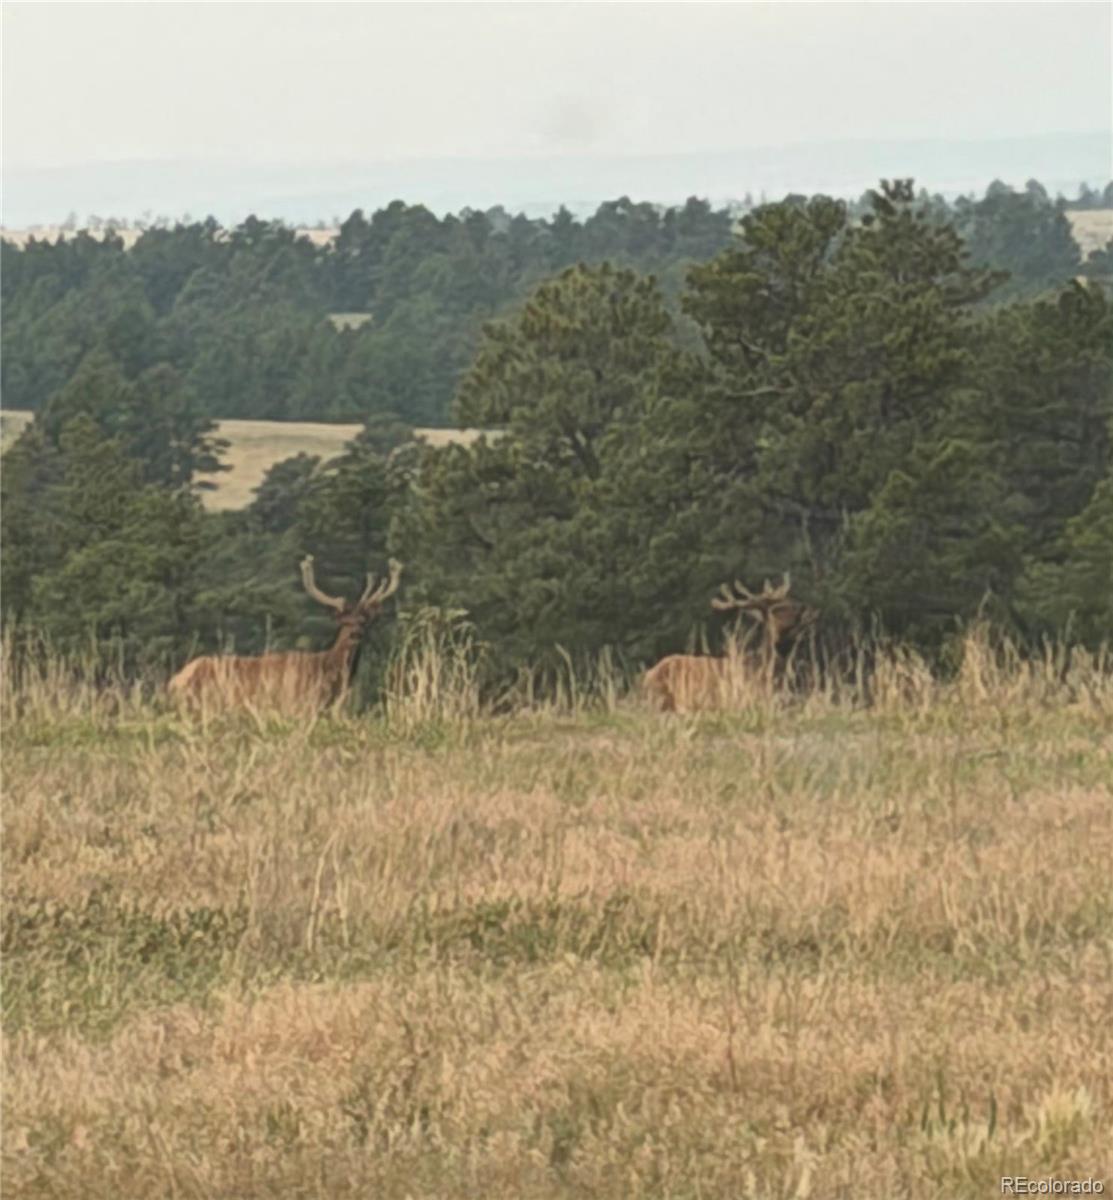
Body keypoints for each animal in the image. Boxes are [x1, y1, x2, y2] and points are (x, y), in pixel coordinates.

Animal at [168, 556, 402, 712]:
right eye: (344, 622)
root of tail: (175, 681)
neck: (327, 674)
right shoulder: (298, 705)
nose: (355, 634)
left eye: (364, 622)